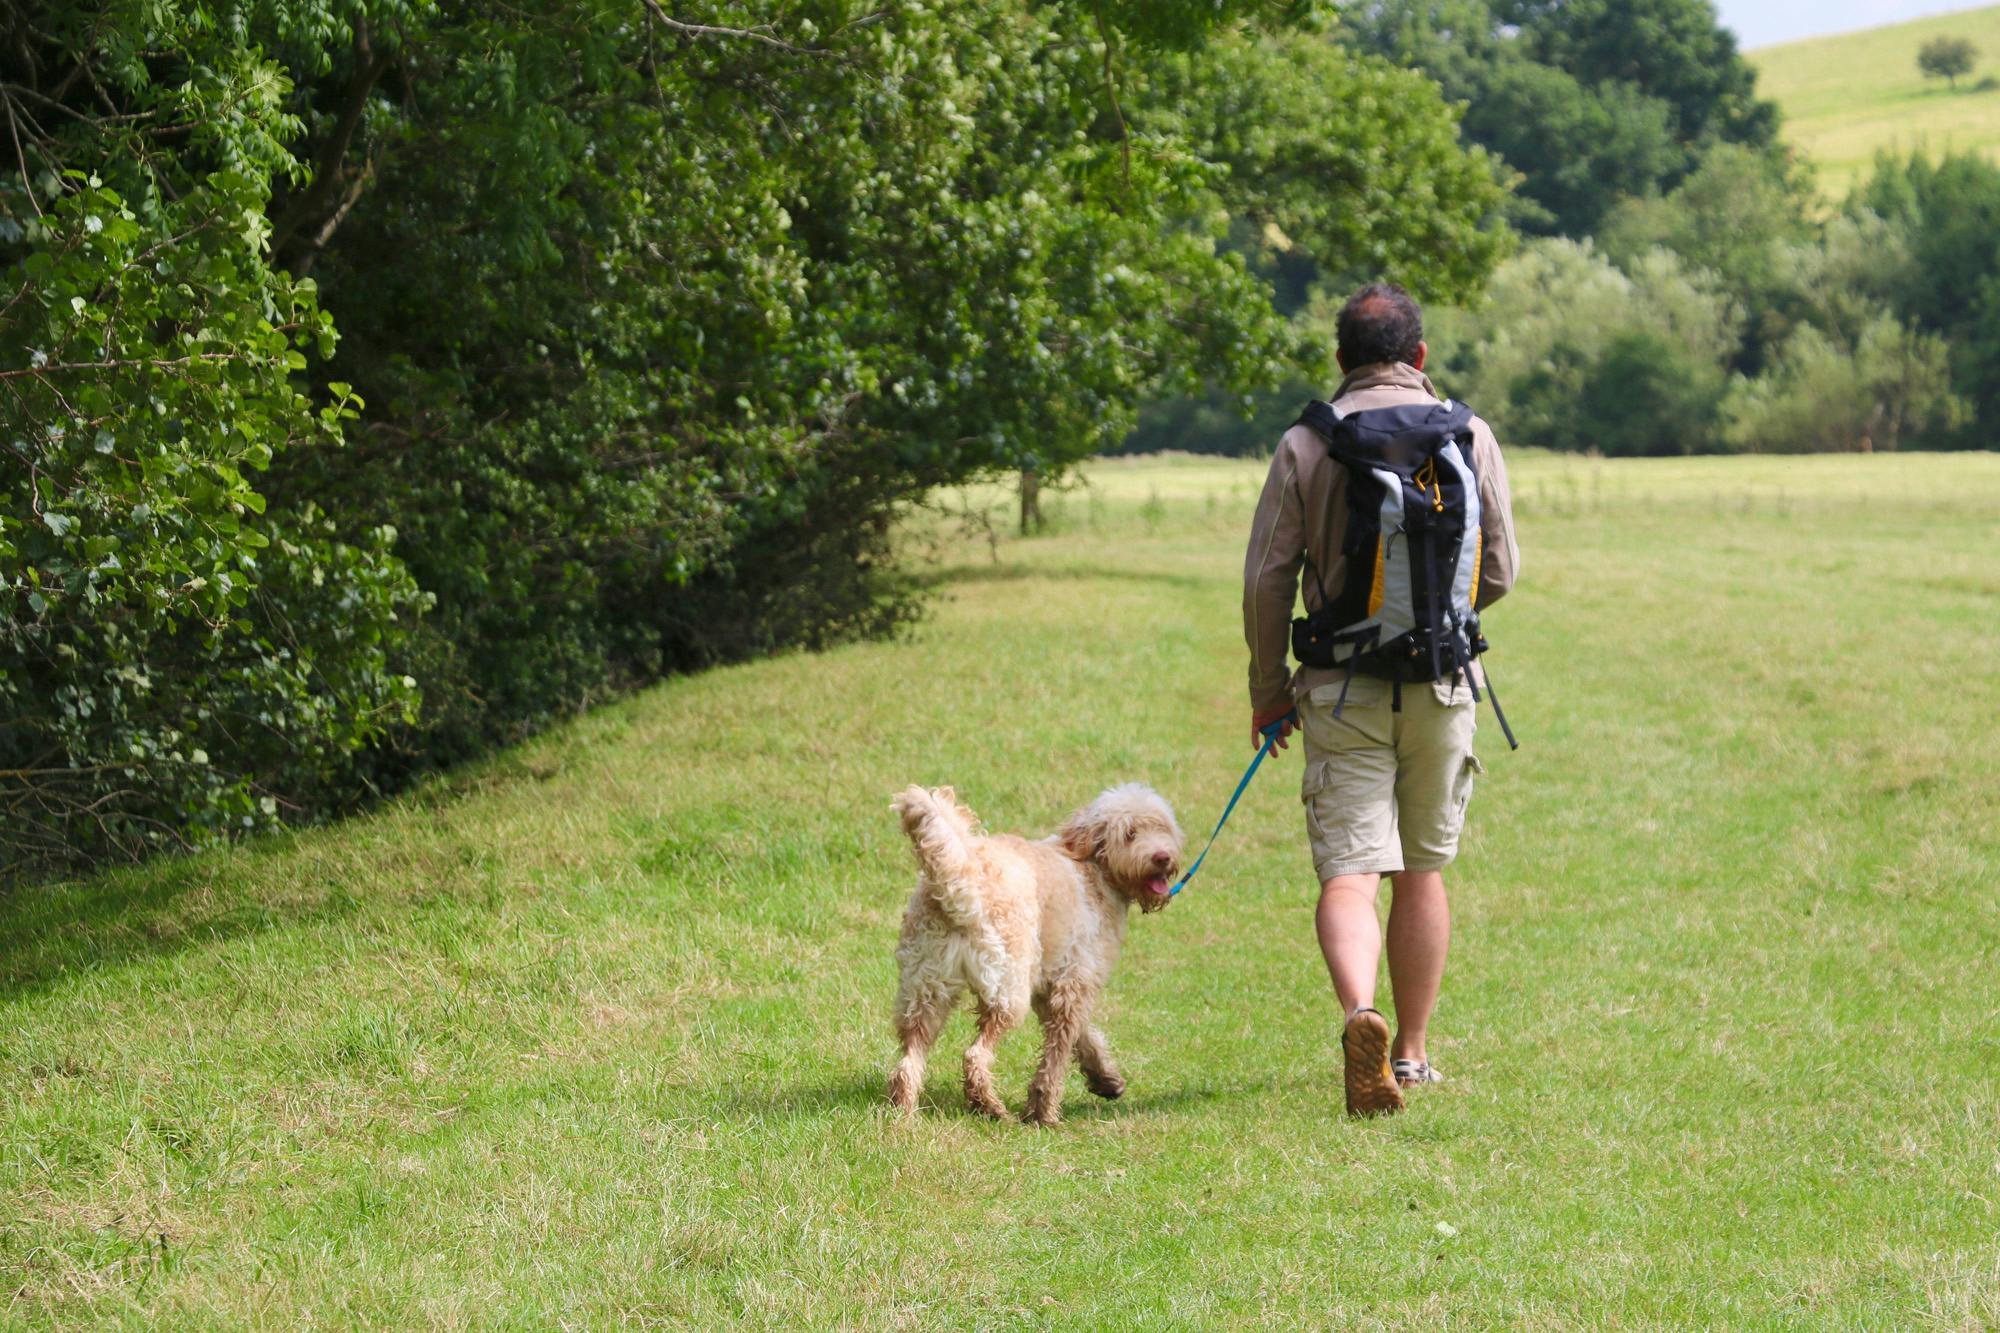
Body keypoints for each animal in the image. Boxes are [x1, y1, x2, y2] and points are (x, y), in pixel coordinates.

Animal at [884, 780, 1176, 1120]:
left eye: (1162, 828)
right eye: (1130, 833)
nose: (1163, 857)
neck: (1093, 868)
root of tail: (963, 881)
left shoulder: (1050, 986)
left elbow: (1084, 1036)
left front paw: (1105, 1079)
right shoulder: (1074, 984)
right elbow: (1058, 1052)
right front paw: (1043, 1112)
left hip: (924, 990)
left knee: (908, 1062)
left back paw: (905, 1112)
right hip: (1007, 990)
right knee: (975, 1057)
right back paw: (991, 1107)